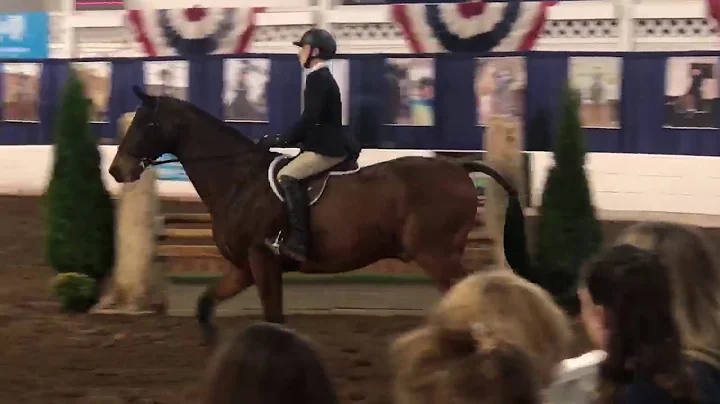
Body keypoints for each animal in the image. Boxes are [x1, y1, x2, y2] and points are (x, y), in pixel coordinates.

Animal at [109, 87, 532, 346]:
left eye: (146, 123)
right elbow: (205, 305)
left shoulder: (263, 261)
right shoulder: (244, 267)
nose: (117, 170)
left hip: (437, 255)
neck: (237, 179)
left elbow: (274, 320)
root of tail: (460, 168)